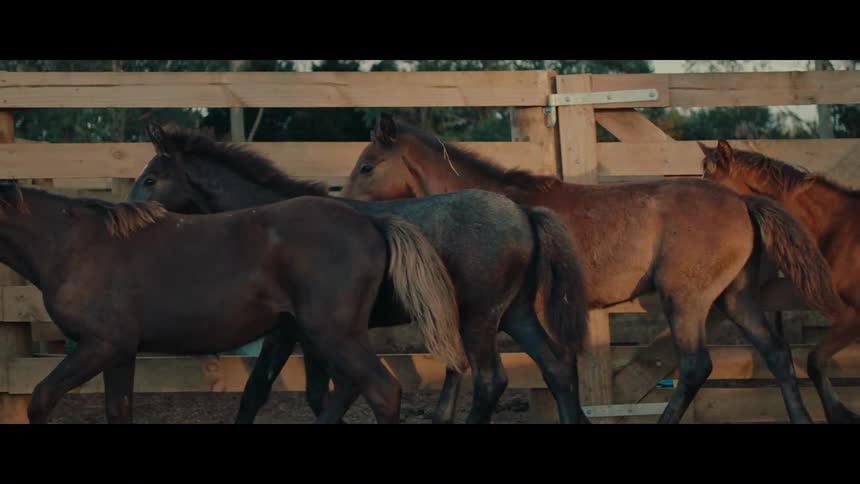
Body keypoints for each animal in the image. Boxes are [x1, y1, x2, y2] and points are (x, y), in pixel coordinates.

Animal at [0, 179, 463, 424]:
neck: (72, 245)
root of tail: (372, 221)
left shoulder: (100, 345)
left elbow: (41, 397)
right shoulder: (120, 352)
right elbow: (119, 410)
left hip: (333, 333)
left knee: (382, 390)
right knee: (351, 387)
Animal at [127, 123, 590, 424]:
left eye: (151, 178)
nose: (129, 212)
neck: (265, 221)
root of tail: (525, 214)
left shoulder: (285, 331)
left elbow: (257, 391)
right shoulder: (308, 332)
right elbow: (318, 392)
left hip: (481, 317)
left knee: (492, 381)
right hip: (515, 312)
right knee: (556, 366)